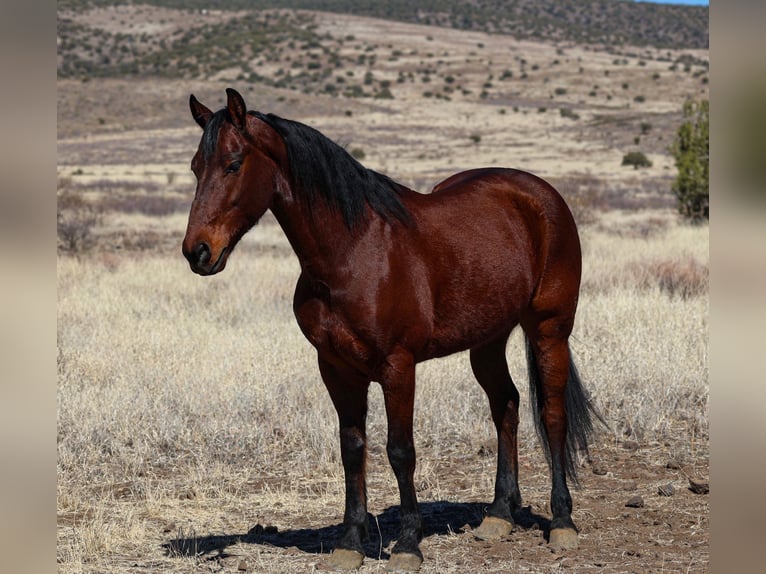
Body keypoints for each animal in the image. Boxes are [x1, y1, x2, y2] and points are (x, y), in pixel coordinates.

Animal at [183, 88, 604, 572]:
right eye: (195, 167)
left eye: (233, 164)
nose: (197, 252)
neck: (352, 251)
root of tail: (541, 194)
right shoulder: (336, 368)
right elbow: (352, 448)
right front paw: (349, 542)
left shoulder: (398, 367)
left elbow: (400, 451)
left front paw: (407, 545)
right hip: (487, 341)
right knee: (507, 406)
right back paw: (499, 515)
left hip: (550, 330)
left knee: (552, 415)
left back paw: (563, 522)